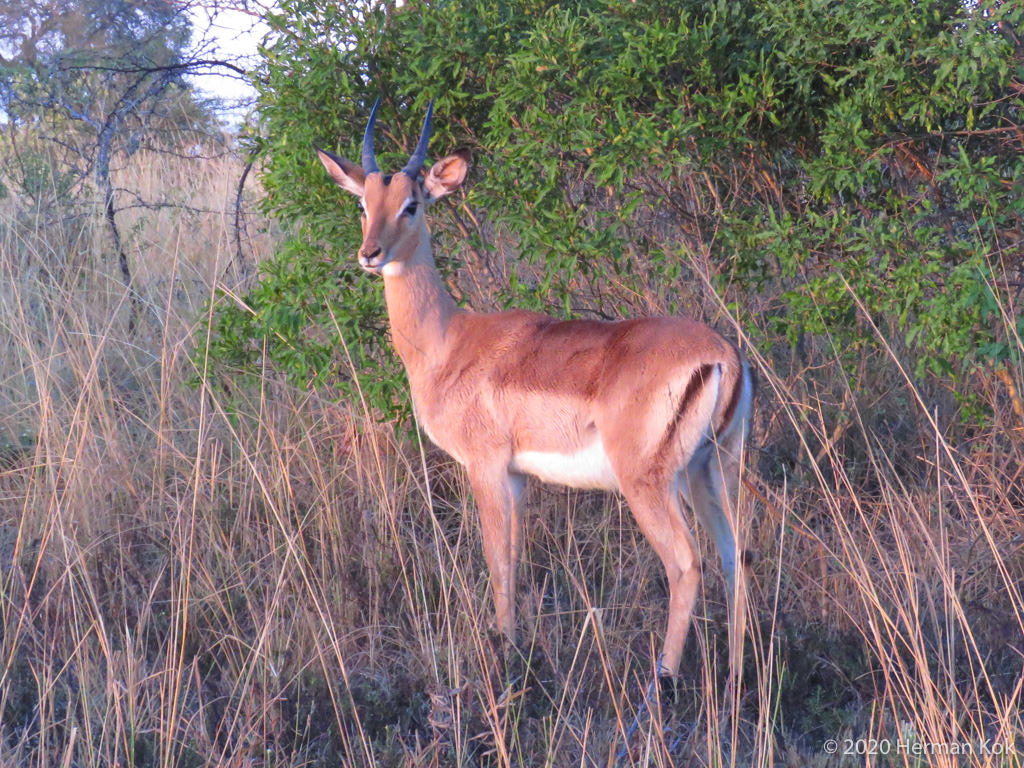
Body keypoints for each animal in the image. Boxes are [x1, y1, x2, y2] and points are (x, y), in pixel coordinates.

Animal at [315, 98, 754, 683]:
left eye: (412, 204)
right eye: (364, 203)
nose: (370, 253)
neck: (448, 344)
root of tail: (722, 356)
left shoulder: (486, 468)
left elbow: (497, 562)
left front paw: (505, 653)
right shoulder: (519, 478)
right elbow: (516, 561)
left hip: (649, 483)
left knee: (686, 563)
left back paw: (662, 677)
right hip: (713, 469)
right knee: (735, 555)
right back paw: (736, 676)